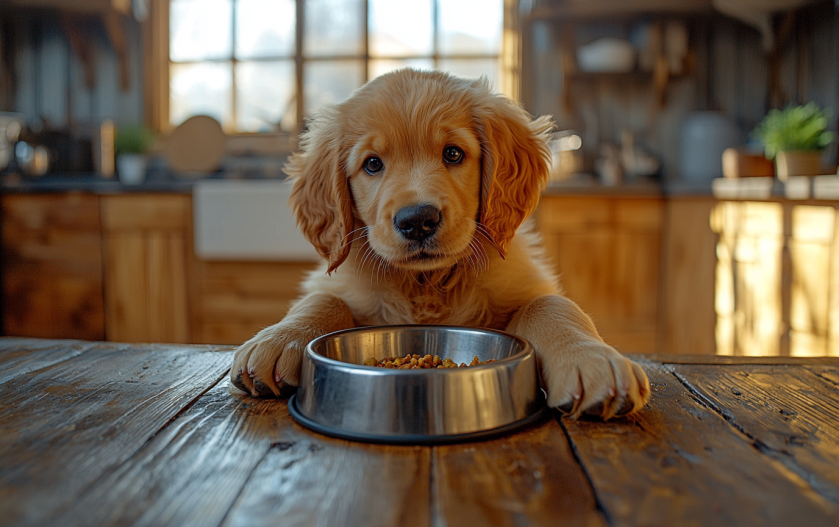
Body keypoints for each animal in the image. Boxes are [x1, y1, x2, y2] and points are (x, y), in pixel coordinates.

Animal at [230, 68, 648, 420]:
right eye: (372, 164)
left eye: (453, 153)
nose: (417, 221)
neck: (427, 283)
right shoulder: (341, 283)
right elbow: (323, 299)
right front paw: (278, 339)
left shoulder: (527, 284)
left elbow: (551, 304)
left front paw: (589, 359)